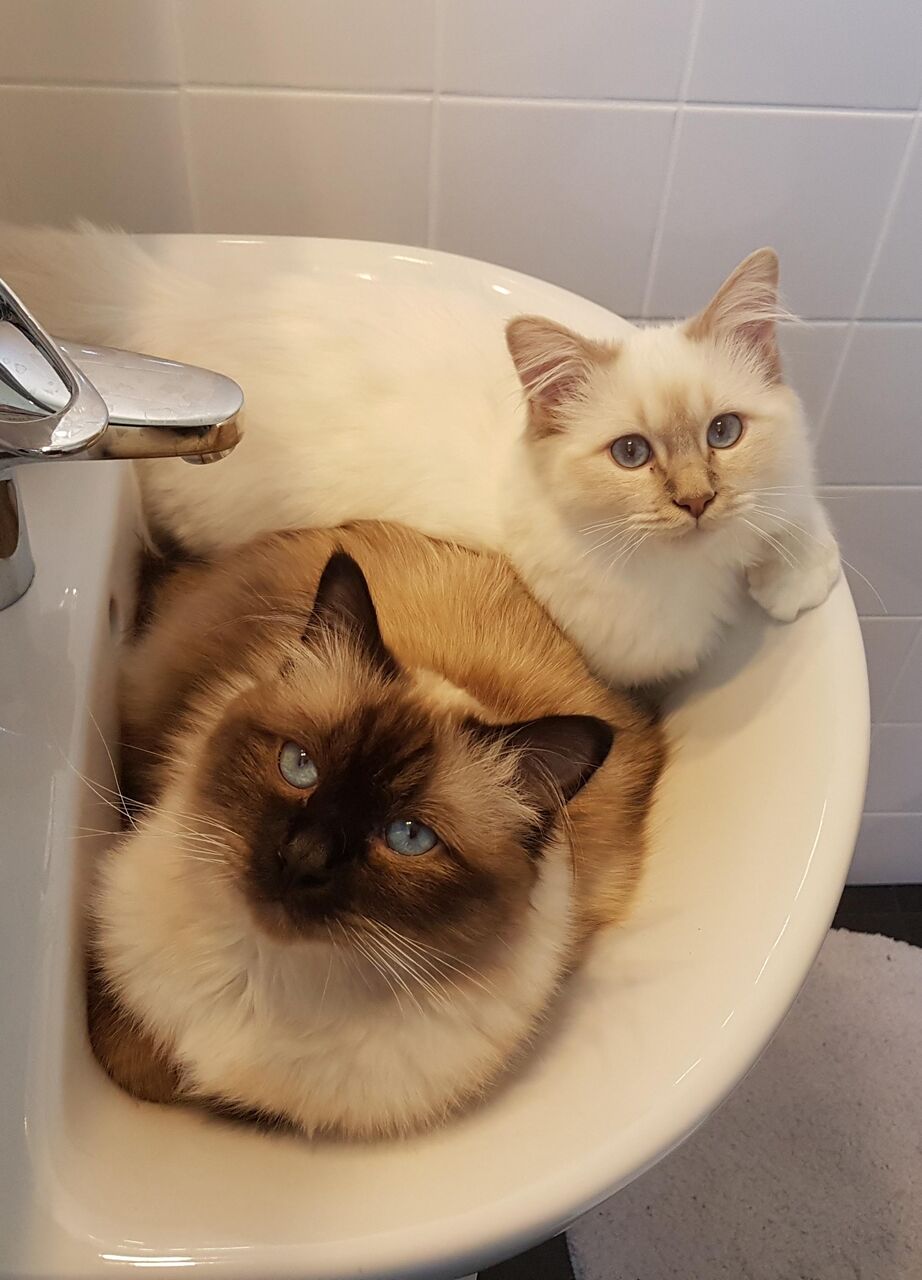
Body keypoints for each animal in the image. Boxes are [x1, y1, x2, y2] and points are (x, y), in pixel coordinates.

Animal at [0, 225, 840, 685]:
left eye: (723, 434)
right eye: (631, 453)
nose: (697, 501)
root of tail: (158, 289)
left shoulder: (785, 484)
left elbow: (797, 515)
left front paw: (793, 583)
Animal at [89, 523, 665, 1137]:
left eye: (408, 837)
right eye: (299, 766)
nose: (302, 856)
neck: (264, 975)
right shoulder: (123, 1002)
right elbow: (135, 1061)